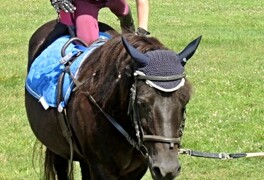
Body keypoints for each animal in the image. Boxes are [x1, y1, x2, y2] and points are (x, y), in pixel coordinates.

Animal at [25, 19, 202, 179]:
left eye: (185, 102)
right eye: (141, 103)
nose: (167, 168)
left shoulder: (137, 168)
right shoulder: (101, 168)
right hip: (57, 147)